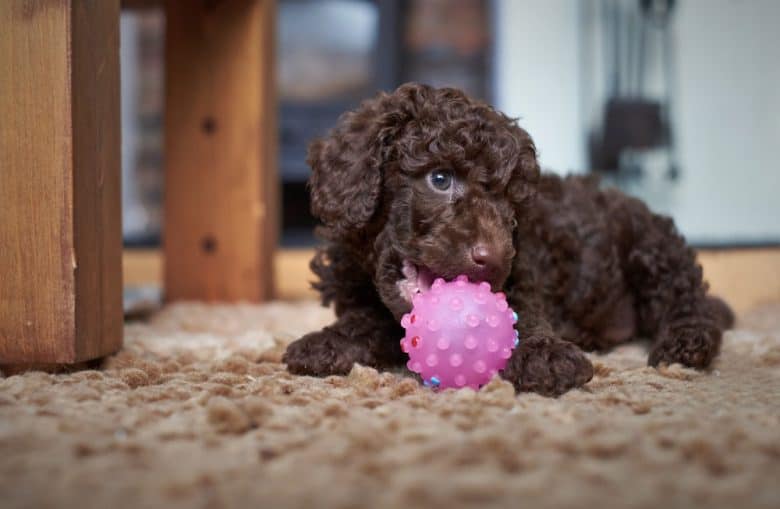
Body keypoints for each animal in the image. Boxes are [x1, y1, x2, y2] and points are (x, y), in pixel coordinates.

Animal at [284, 82, 736, 396]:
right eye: (440, 179)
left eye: (509, 201)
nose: (495, 259)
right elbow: (363, 321)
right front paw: (325, 343)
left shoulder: (526, 274)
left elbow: (523, 317)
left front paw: (545, 356)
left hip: (652, 248)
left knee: (687, 301)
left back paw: (685, 343)